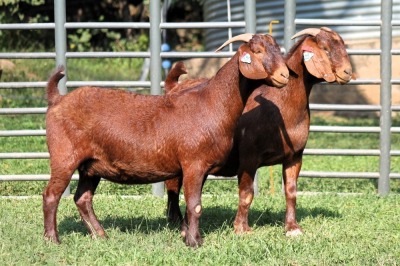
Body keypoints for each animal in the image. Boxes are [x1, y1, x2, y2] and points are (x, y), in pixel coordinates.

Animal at [42, 32, 290, 247]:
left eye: (278, 49)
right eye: (257, 51)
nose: (284, 75)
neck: (212, 103)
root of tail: (57, 100)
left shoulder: (201, 168)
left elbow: (192, 205)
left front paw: (190, 237)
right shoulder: (193, 163)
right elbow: (195, 205)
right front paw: (195, 242)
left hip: (91, 166)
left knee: (82, 198)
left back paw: (100, 235)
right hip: (64, 157)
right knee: (51, 195)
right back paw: (52, 239)